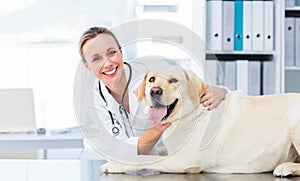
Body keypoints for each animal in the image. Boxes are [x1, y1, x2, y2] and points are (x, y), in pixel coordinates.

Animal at [101, 64, 300, 176]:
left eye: (174, 80)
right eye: (151, 79)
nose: (154, 91)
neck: (189, 116)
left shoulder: (184, 161)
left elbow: (142, 159)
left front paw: (114, 164)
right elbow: (156, 149)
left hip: (294, 122)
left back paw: (285, 168)